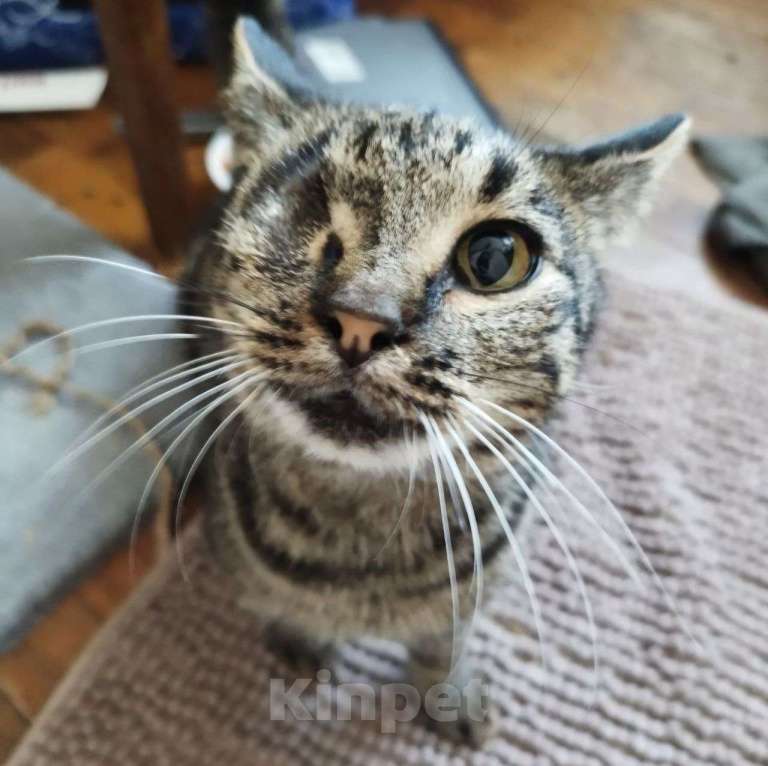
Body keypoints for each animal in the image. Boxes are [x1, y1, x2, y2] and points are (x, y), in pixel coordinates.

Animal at [182, 18, 688, 752]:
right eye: (307, 211)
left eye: (496, 257)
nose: (362, 319)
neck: (360, 550)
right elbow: (284, 609)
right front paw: (301, 644)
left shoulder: (473, 592)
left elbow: (442, 645)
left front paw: (448, 698)